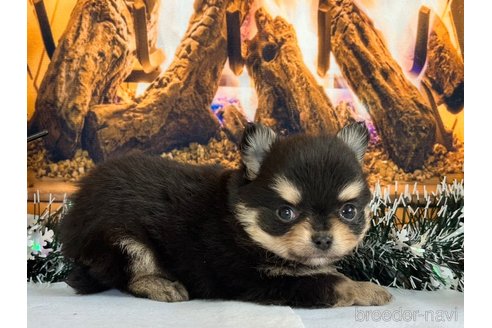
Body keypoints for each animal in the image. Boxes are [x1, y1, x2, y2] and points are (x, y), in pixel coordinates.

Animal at [58, 122, 392, 308]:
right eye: (285, 213)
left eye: (348, 211)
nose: (323, 239)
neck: (242, 224)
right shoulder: (255, 277)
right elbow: (331, 282)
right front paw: (369, 290)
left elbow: (328, 274)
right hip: (121, 237)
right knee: (131, 273)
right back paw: (162, 285)